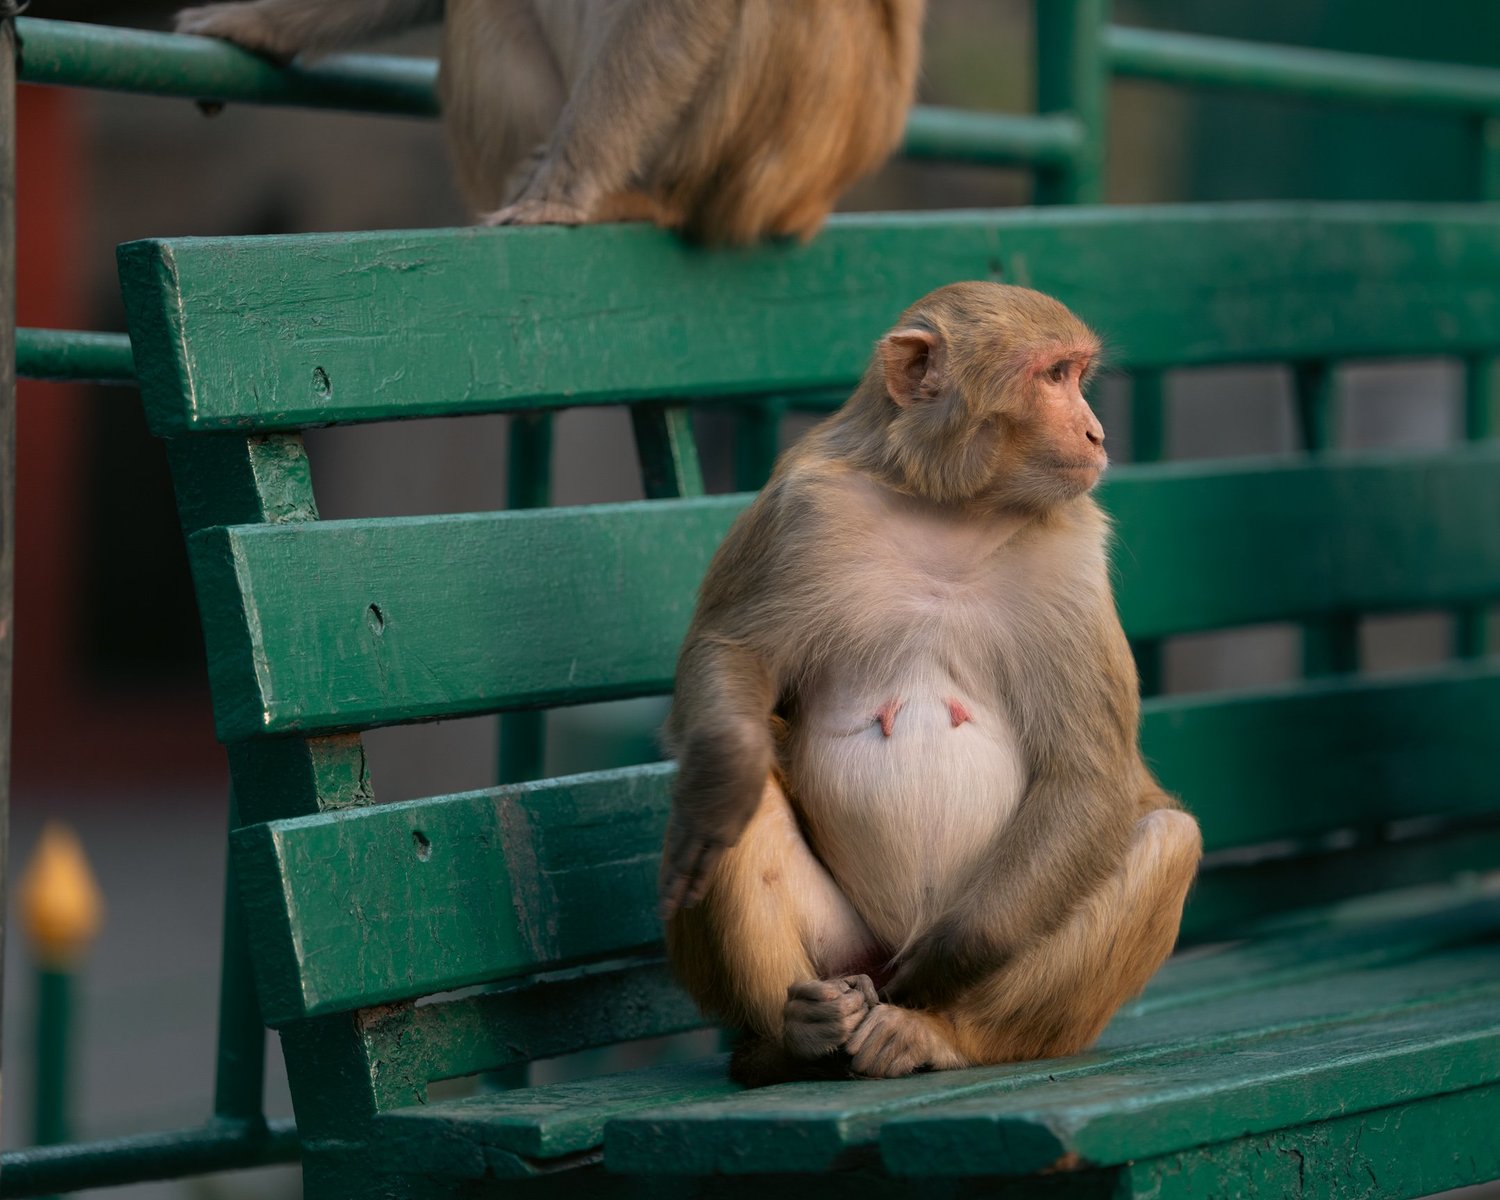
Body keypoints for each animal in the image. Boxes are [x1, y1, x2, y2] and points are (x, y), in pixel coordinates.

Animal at [661, 282, 1203, 1086]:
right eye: (1053, 376)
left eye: (1077, 374)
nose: (1097, 432)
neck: (952, 509)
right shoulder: (802, 511)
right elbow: (731, 653)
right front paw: (722, 771)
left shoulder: (1073, 554)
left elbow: (1087, 775)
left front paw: (949, 958)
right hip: (845, 950)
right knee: (745, 810)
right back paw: (794, 1037)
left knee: (1169, 839)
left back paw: (939, 1033)